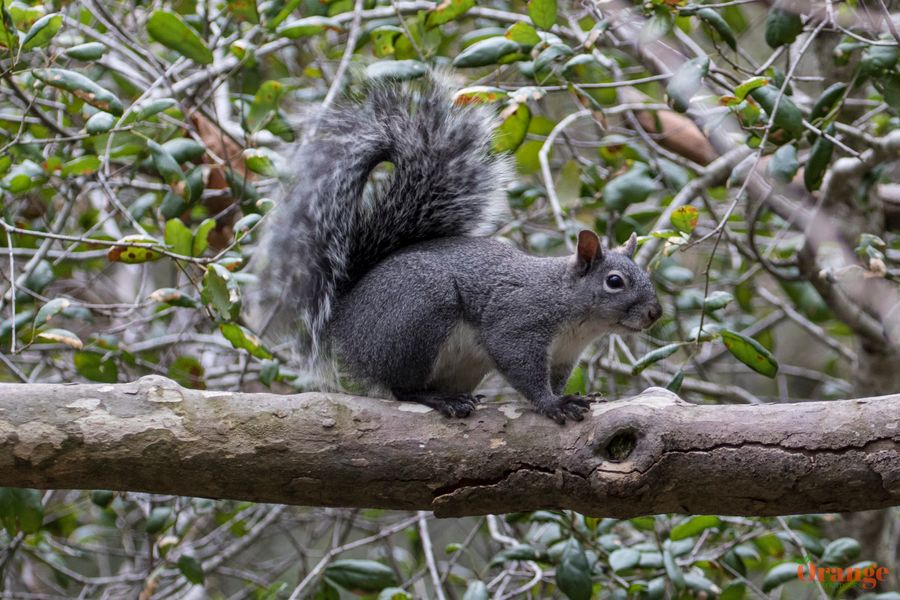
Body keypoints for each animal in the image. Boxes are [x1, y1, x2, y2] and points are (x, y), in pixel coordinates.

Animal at [260, 78, 663, 424]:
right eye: (615, 281)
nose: (655, 313)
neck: (575, 312)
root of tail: (343, 317)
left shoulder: (564, 356)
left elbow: (556, 378)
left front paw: (575, 396)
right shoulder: (518, 322)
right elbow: (523, 369)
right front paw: (553, 404)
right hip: (418, 319)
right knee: (403, 389)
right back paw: (441, 399)